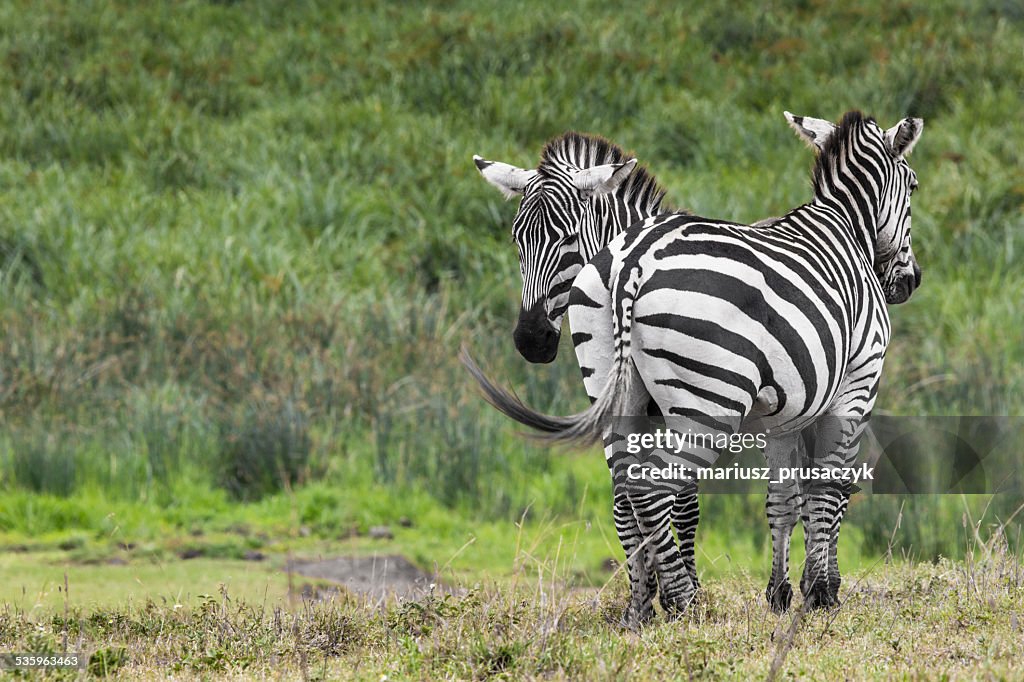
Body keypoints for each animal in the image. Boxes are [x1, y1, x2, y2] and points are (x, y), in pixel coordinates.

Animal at [466, 109, 929, 622]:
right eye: (913, 184)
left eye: (564, 238)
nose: (531, 341)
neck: (845, 225)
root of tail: (632, 261)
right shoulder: (857, 382)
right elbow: (824, 489)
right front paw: (820, 593)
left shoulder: (783, 410)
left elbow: (780, 498)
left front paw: (781, 593)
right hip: (709, 403)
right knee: (654, 487)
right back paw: (682, 601)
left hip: (626, 390)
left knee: (630, 490)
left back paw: (642, 608)